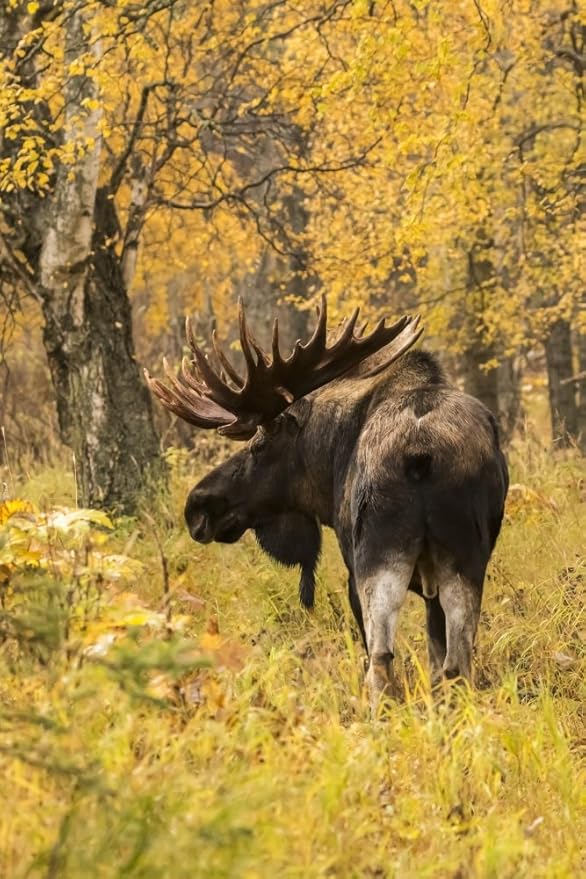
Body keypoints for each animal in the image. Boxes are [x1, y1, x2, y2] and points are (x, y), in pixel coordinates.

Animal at [145, 297, 509, 707]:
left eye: (259, 445)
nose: (197, 506)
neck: (331, 453)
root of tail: (420, 452)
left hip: (377, 557)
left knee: (380, 660)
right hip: (464, 556)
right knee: (456, 662)